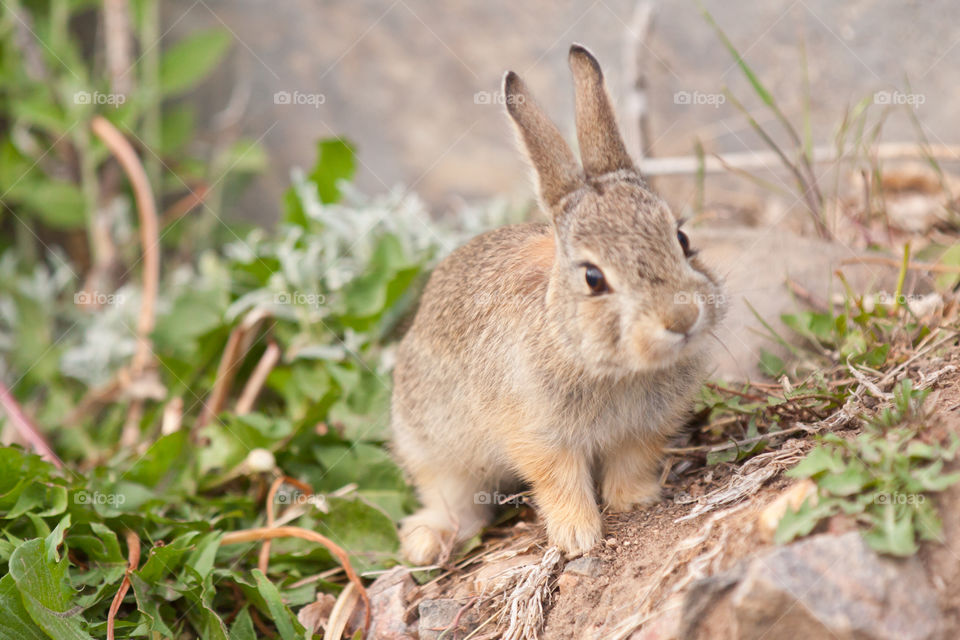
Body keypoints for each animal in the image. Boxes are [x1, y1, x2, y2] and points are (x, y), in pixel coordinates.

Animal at [390, 44, 725, 565]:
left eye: (682, 239)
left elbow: (631, 462)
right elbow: (558, 480)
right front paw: (577, 536)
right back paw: (427, 542)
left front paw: (635, 500)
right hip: (431, 442)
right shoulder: (537, 432)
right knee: (454, 498)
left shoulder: (645, 427)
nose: (682, 317)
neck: (612, 366)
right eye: (593, 278)